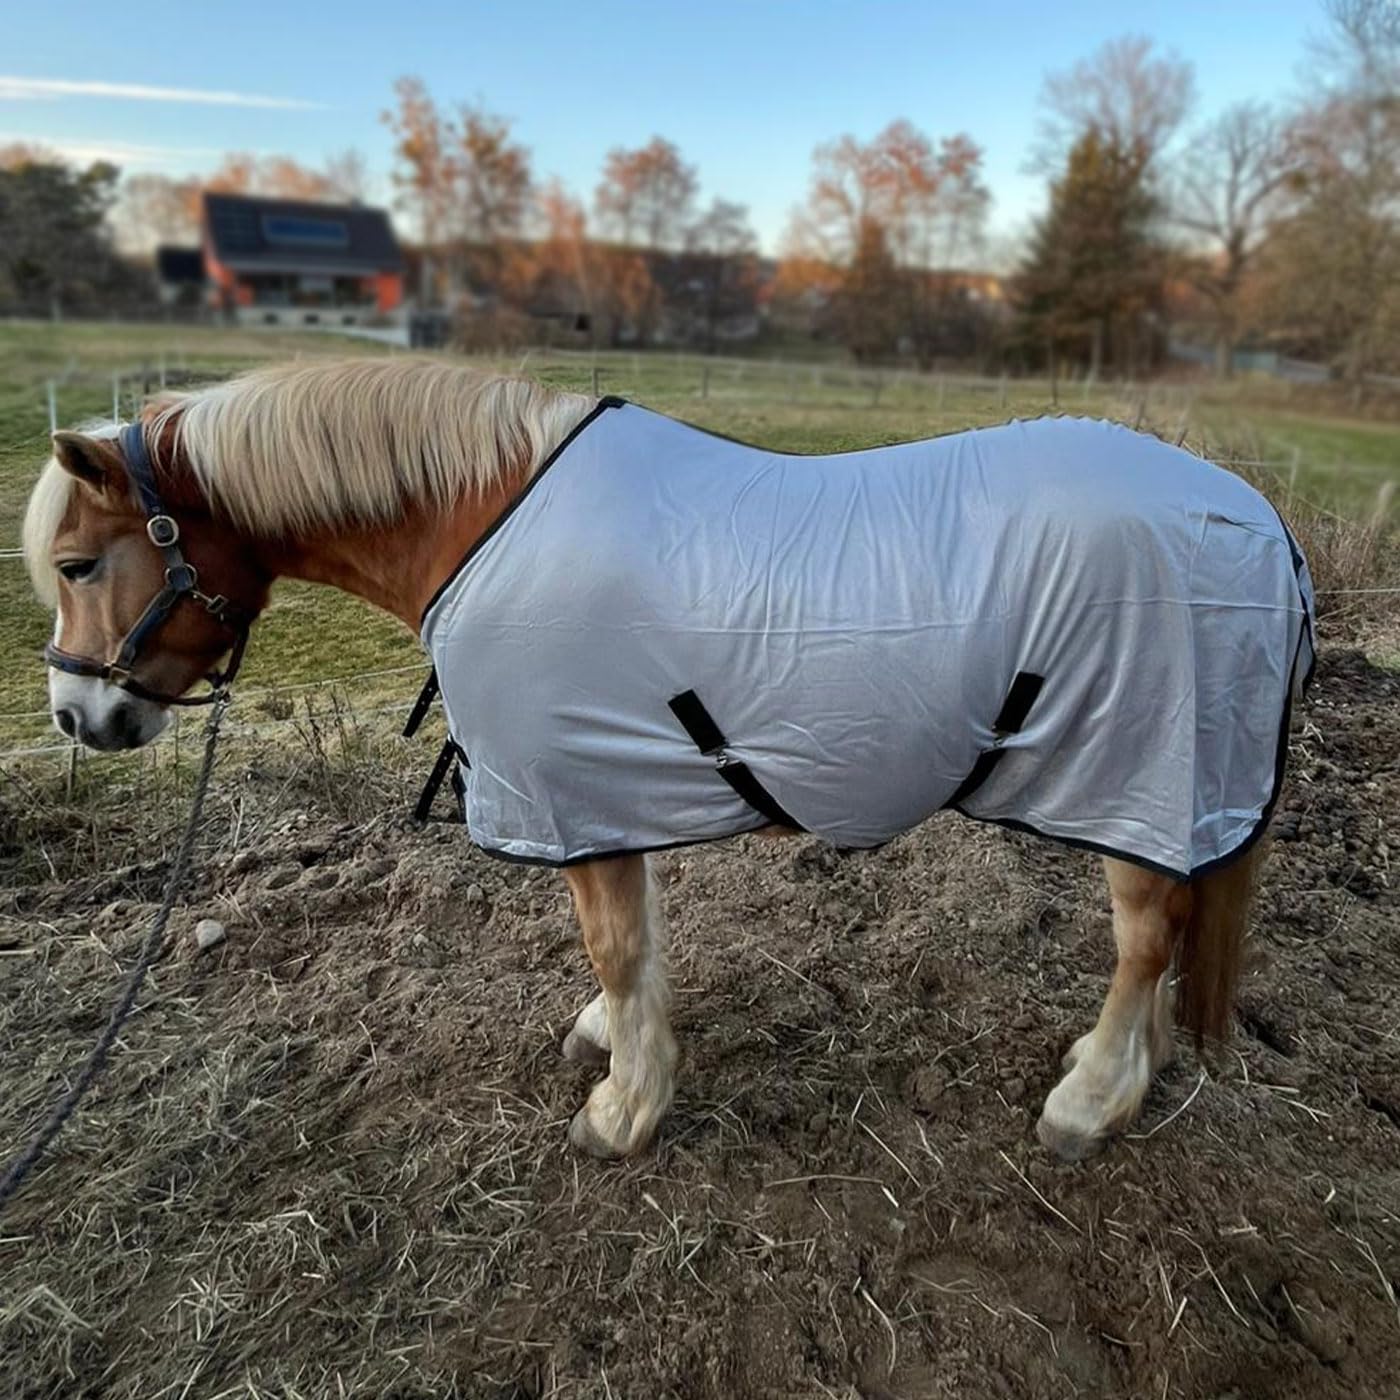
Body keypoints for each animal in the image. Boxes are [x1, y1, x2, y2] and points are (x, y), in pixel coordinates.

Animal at [22, 357, 1314, 1163]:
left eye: (79, 563)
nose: (79, 715)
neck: (481, 519)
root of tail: (1258, 519)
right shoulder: (603, 789)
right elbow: (628, 940)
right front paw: (611, 1039)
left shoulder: (573, 792)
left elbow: (614, 937)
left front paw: (623, 1108)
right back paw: (1122, 1066)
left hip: (1137, 783)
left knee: (1143, 938)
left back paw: (1088, 1100)